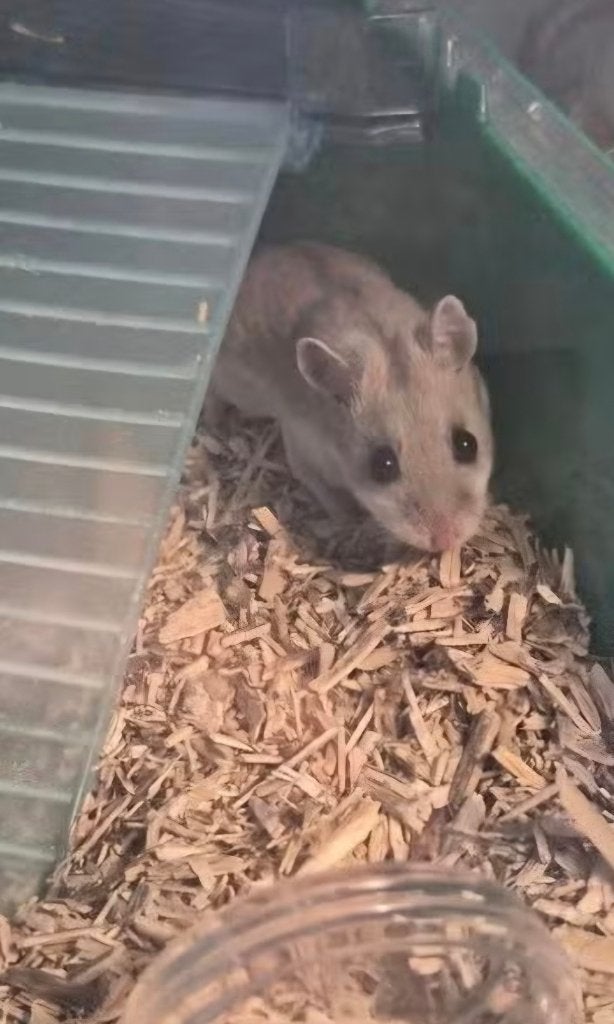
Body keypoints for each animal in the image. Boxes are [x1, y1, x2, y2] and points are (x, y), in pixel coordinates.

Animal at [209, 242, 493, 553]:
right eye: (382, 466)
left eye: (467, 444)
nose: (446, 541)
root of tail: (265, 253)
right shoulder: (304, 456)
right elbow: (331, 498)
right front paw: (349, 525)